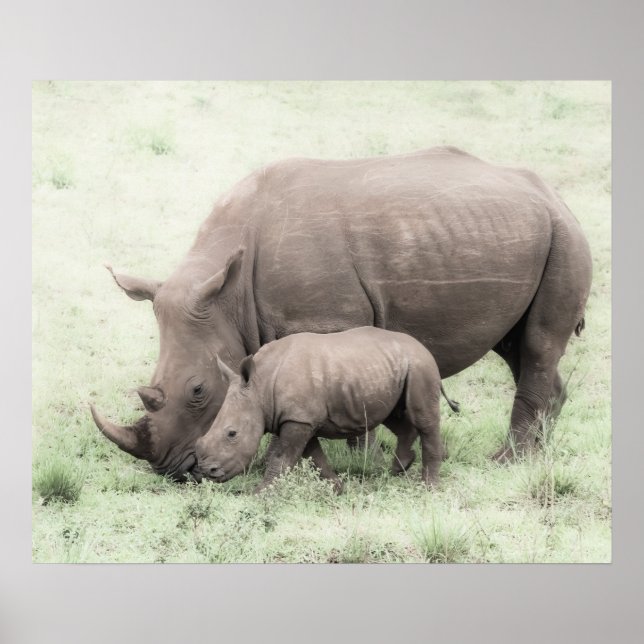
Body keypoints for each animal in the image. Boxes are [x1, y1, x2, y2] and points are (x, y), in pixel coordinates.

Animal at [195, 327, 453, 492]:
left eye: (232, 434)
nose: (209, 471)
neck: (260, 386)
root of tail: (423, 347)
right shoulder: (301, 419)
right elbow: (314, 458)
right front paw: (337, 489)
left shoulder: (298, 419)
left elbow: (282, 458)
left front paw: (260, 494)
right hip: (393, 368)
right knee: (395, 416)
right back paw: (399, 468)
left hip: (420, 366)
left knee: (423, 420)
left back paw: (428, 487)